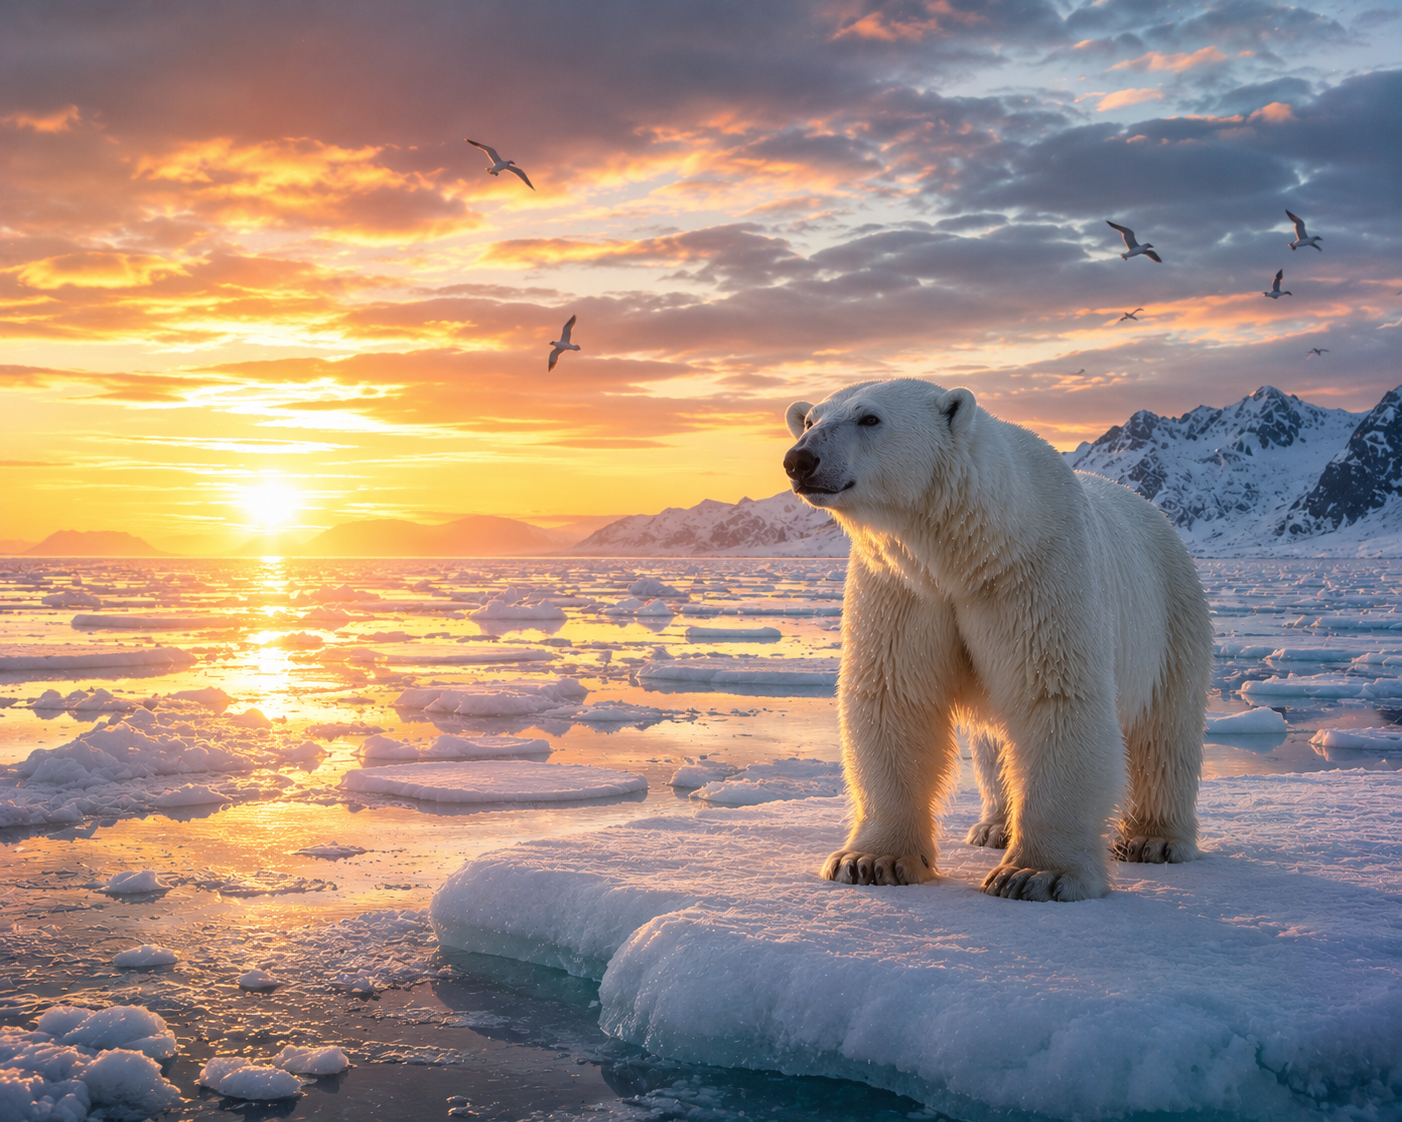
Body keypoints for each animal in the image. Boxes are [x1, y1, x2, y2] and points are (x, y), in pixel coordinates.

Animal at [782, 378, 1213, 902]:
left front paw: (1035, 874)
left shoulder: (1036, 574)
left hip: (1172, 613)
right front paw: (869, 860)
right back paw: (995, 826)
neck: (968, 550)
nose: (800, 460)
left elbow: (1051, 696)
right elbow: (894, 698)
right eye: (809, 420)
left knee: (1164, 731)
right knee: (994, 743)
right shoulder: (902, 589)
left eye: (870, 418)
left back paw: (1155, 839)